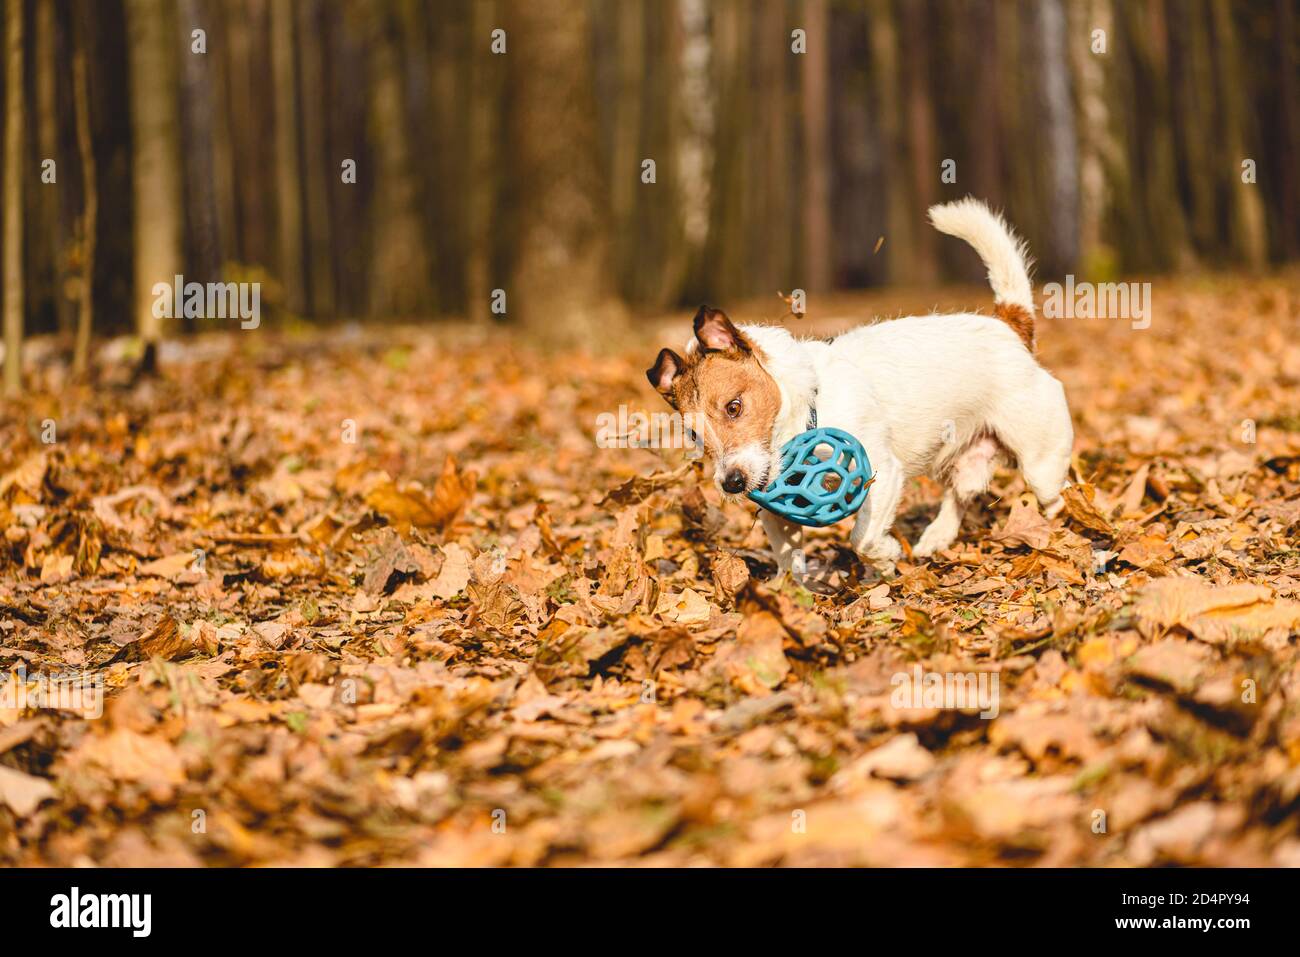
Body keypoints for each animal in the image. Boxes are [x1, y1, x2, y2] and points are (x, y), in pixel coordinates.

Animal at [647, 197, 1076, 572]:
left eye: (734, 407)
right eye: (693, 435)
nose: (732, 483)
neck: (809, 406)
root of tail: (1008, 324)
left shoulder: (881, 472)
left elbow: (862, 539)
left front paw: (884, 557)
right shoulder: (776, 510)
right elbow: (788, 561)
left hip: (1041, 461)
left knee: (1057, 497)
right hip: (959, 457)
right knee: (961, 495)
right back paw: (937, 536)